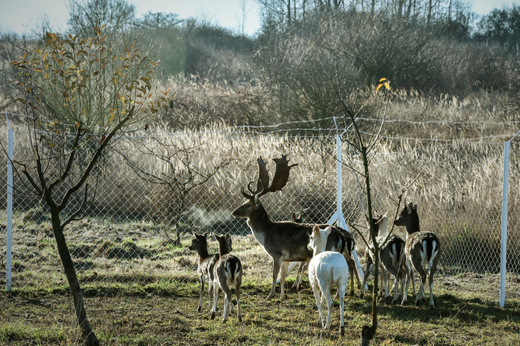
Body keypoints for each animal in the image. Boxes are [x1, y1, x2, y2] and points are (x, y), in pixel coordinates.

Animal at [233, 155, 360, 300]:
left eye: (248, 205)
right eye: (244, 202)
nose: (234, 212)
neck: (266, 233)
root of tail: (341, 236)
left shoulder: (277, 253)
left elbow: (274, 275)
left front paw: (270, 295)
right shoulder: (286, 258)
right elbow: (282, 277)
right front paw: (283, 296)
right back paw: (346, 292)